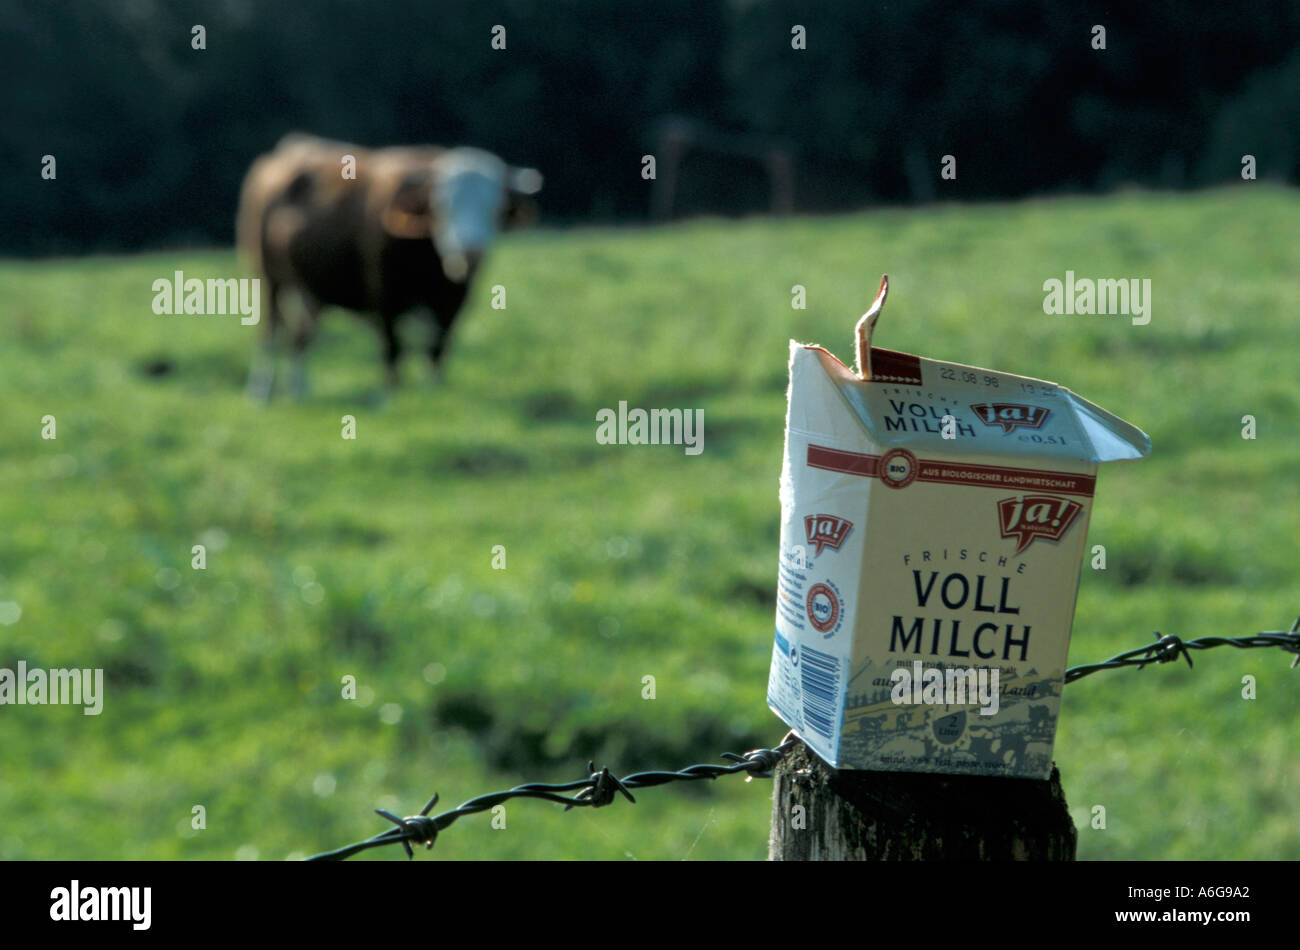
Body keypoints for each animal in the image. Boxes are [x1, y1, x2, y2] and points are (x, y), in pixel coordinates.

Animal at [236, 133, 542, 399]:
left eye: (495, 208)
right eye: (442, 206)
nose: (470, 251)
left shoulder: (452, 303)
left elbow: (436, 351)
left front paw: (432, 396)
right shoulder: (385, 298)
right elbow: (394, 351)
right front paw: (389, 400)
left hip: (310, 289)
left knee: (300, 337)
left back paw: (299, 391)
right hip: (267, 277)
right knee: (270, 332)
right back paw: (261, 392)